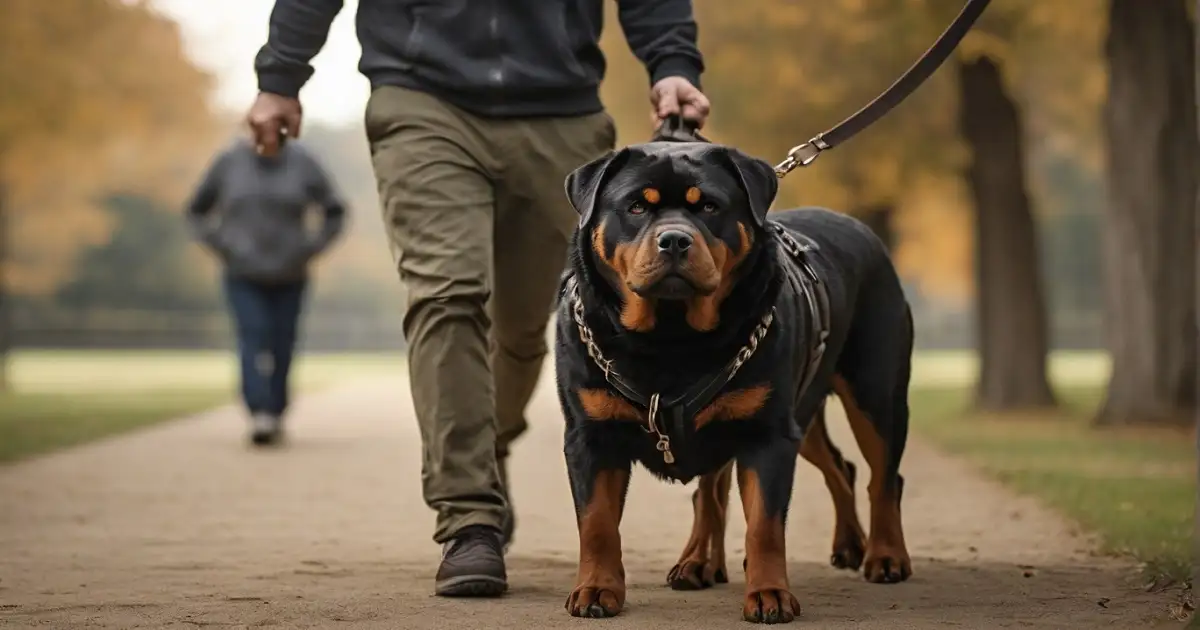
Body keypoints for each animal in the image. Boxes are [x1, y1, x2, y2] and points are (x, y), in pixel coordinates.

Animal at [556, 138, 912, 624]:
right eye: (635, 206)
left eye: (709, 206)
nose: (674, 239)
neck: (670, 341)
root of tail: (863, 231)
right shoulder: (590, 436)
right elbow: (596, 522)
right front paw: (596, 589)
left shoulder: (769, 434)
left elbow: (765, 525)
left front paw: (769, 595)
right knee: (777, 478)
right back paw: (702, 561)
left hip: (873, 394)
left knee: (883, 475)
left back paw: (886, 555)